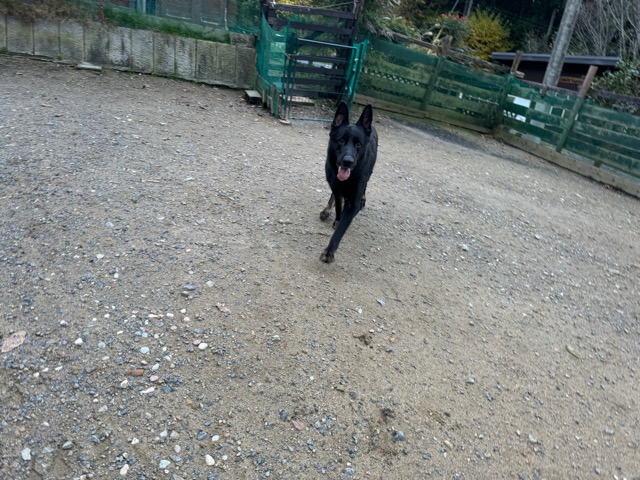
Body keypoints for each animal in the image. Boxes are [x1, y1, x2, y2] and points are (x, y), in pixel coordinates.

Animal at [319, 102, 378, 263]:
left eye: (358, 144)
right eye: (341, 140)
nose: (348, 161)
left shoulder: (353, 203)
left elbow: (342, 227)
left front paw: (329, 251)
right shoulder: (337, 188)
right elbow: (339, 207)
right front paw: (336, 218)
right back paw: (327, 209)